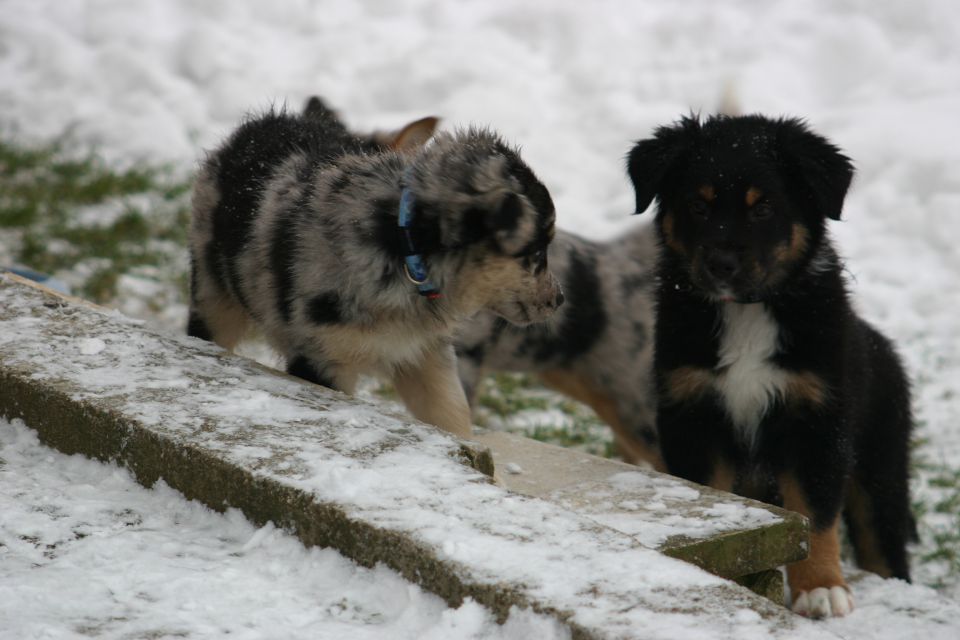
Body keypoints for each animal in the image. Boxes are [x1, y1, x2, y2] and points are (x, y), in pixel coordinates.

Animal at [188, 100, 564, 440]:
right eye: (536, 252)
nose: (559, 300)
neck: (403, 247)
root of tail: (263, 121)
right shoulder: (322, 359)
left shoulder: (425, 354)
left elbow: (452, 415)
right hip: (213, 295)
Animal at [632, 112, 916, 616]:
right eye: (698, 205)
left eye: (763, 209)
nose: (720, 265)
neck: (747, 312)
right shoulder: (693, 416)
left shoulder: (817, 420)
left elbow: (814, 514)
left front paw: (821, 587)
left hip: (881, 470)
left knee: (884, 549)